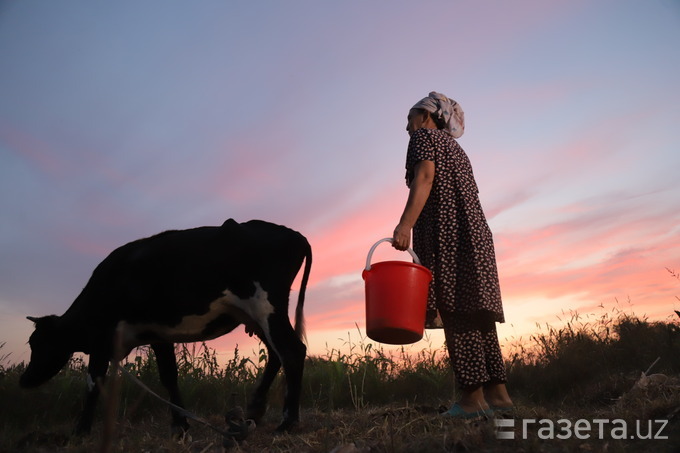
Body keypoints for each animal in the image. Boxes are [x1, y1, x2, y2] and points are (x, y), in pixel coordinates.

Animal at [18, 219, 310, 434]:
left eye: (39, 343)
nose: (23, 380)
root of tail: (293, 233)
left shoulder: (102, 340)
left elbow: (93, 382)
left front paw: (81, 430)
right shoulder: (158, 335)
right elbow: (169, 376)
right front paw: (181, 424)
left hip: (266, 307)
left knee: (292, 351)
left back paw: (288, 423)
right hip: (257, 316)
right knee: (276, 354)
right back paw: (256, 410)